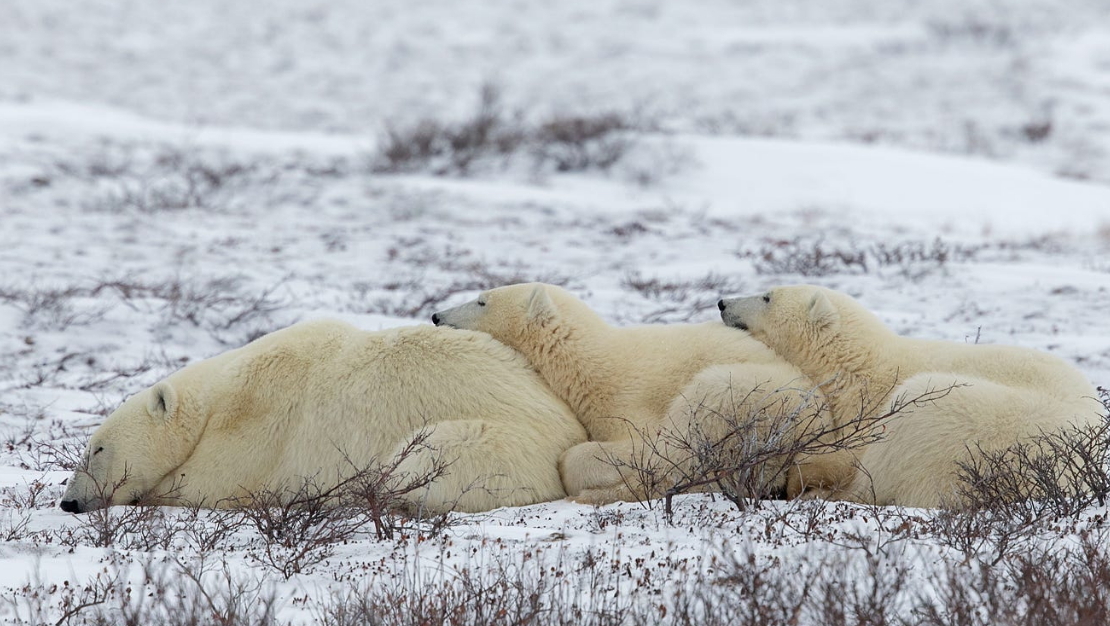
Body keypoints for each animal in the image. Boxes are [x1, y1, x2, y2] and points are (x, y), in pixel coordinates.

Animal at [58, 319, 590, 515]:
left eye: (98, 447)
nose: (69, 501)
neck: (216, 400)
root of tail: (571, 432)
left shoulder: (259, 426)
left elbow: (206, 484)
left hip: (499, 441)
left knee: (422, 459)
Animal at [428, 281, 834, 503]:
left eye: (482, 300)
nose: (436, 315)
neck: (592, 362)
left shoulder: (629, 396)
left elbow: (645, 450)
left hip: (751, 396)